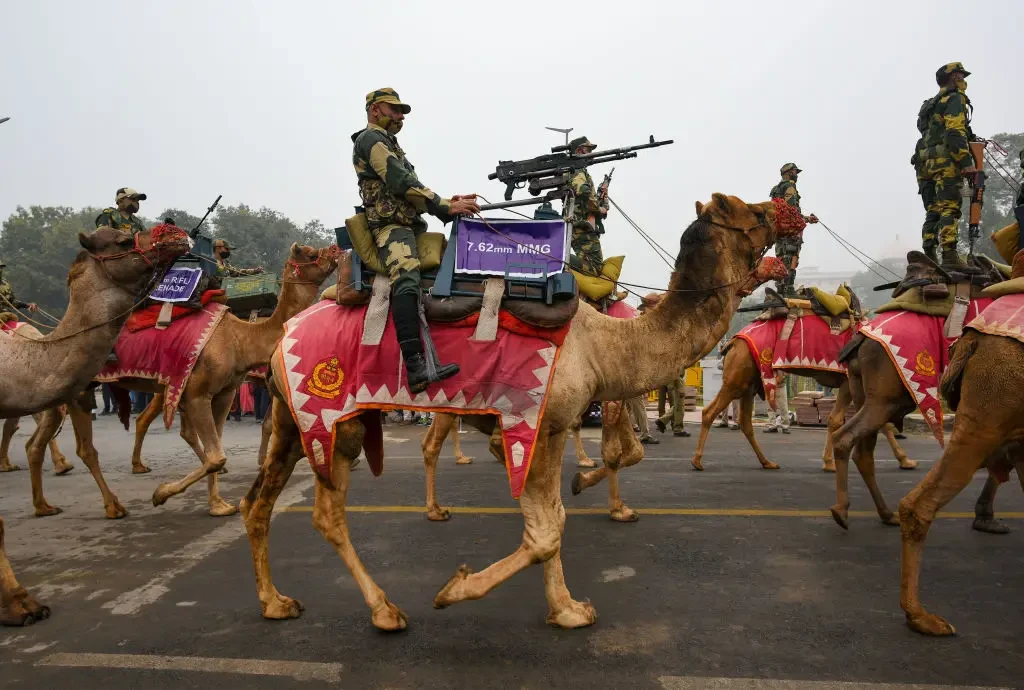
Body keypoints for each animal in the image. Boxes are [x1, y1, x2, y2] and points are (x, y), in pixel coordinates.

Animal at [0, 223, 189, 625]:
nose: (176, 234)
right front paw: (18, 606)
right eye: (124, 240)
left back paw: (45, 503)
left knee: (36, 442)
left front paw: (24, 602)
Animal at [25, 243, 339, 518]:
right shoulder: (198, 392)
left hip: (69, 390)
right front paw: (160, 494)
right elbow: (218, 454)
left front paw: (219, 505)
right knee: (88, 448)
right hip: (86, 388)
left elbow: (220, 447)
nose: (336, 251)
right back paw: (113, 505)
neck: (240, 338)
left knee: (37, 443)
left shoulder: (224, 393)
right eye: (308, 252)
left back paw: (44, 504)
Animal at [240, 192, 798, 630]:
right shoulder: (538, 421)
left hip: (291, 418)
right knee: (327, 513)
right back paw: (384, 610)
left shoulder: (544, 427)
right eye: (752, 211)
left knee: (258, 503)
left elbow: (552, 520)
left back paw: (274, 602)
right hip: (332, 417)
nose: (788, 213)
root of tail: (283, 335)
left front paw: (565, 608)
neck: (606, 344)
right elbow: (547, 529)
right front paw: (456, 590)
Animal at [691, 340, 913, 473]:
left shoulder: (847, 383)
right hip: (738, 379)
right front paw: (905, 460)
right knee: (709, 412)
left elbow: (835, 419)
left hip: (749, 383)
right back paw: (697, 461)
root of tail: (731, 344)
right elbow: (880, 423)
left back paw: (767, 462)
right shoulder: (851, 381)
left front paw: (828, 462)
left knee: (745, 422)